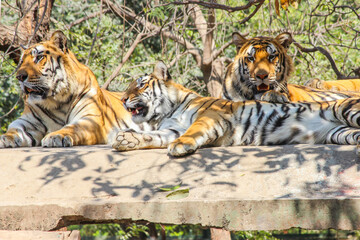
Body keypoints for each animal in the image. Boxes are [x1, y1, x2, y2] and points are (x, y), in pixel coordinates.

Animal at [0, 30, 149, 148]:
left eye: (39, 57)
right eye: (21, 62)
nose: (19, 76)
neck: (56, 101)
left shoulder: (89, 119)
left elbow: (72, 128)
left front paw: (56, 136)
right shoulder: (28, 121)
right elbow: (15, 129)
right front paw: (5, 138)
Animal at [112, 61, 360, 157]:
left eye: (140, 84)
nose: (122, 99)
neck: (168, 111)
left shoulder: (210, 114)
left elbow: (193, 130)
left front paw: (180, 146)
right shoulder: (171, 129)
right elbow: (152, 136)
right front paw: (126, 139)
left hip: (346, 109)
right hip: (341, 133)